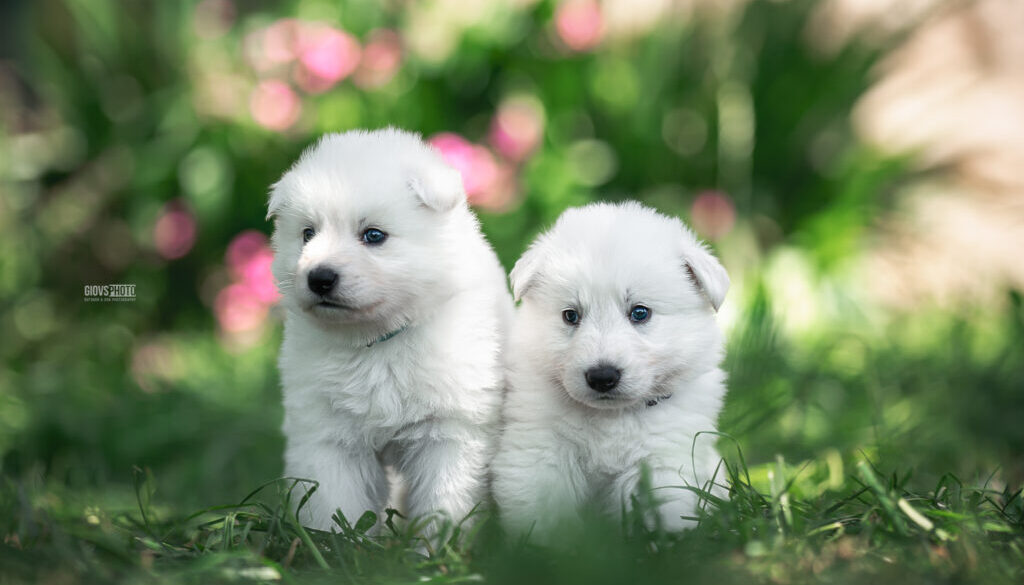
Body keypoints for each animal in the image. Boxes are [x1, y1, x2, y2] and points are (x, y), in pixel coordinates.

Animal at [268, 129, 512, 536]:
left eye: (373, 235)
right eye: (307, 233)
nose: (319, 278)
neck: (377, 343)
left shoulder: (451, 431)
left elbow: (444, 501)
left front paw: (436, 548)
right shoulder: (329, 434)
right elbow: (334, 501)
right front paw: (336, 542)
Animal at [493, 201, 729, 540]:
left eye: (640, 313)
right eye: (570, 315)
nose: (602, 377)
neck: (611, 417)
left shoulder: (662, 460)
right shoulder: (539, 450)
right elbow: (544, 514)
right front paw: (541, 550)